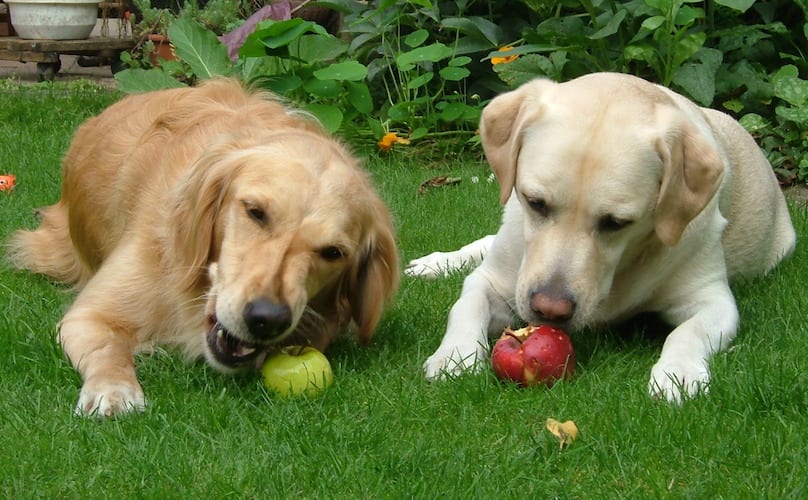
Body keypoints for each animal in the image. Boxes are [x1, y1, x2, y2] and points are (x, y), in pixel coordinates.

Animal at [6, 79, 398, 418]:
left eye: (333, 252)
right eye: (255, 212)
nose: (267, 319)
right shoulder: (87, 314)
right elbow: (107, 348)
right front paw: (114, 389)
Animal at [410, 73, 796, 402]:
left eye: (616, 223)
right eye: (536, 202)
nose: (549, 309)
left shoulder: (713, 300)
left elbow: (688, 331)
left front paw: (678, 373)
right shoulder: (492, 279)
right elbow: (466, 305)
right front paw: (455, 356)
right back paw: (435, 263)